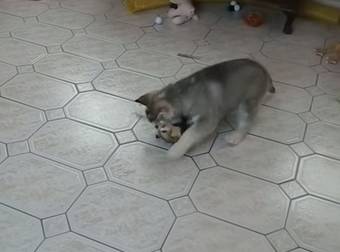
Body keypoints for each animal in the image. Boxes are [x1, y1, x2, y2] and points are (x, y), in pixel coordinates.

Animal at [135, 58, 274, 158]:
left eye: (161, 126)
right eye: (155, 125)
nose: (156, 133)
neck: (180, 96)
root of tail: (264, 70)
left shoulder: (207, 120)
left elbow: (189, 134)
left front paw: (175, 151)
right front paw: (139, 112)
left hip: (248, 101)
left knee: (247, 121)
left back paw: (236, 137)